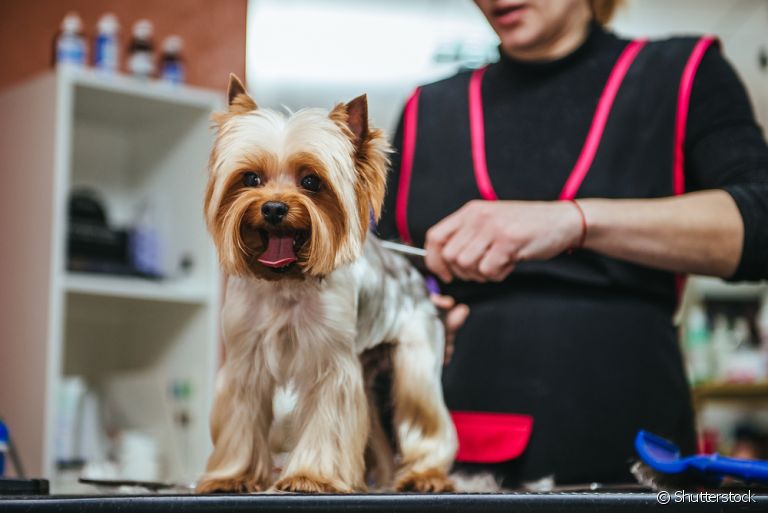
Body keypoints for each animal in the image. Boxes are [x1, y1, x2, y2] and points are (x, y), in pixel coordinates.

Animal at [196, 75, 456, 492]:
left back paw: (425, 475)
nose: (273, 208)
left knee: (424, 414)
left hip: (415, 358)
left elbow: (327, 421)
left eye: (311, 181)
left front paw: (309, 476)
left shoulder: (332, 364)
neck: (287, 279)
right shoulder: (244, 359)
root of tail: (412, 271)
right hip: (366, 370)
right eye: (250, 178)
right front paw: (232, 476)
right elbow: (241, 419)